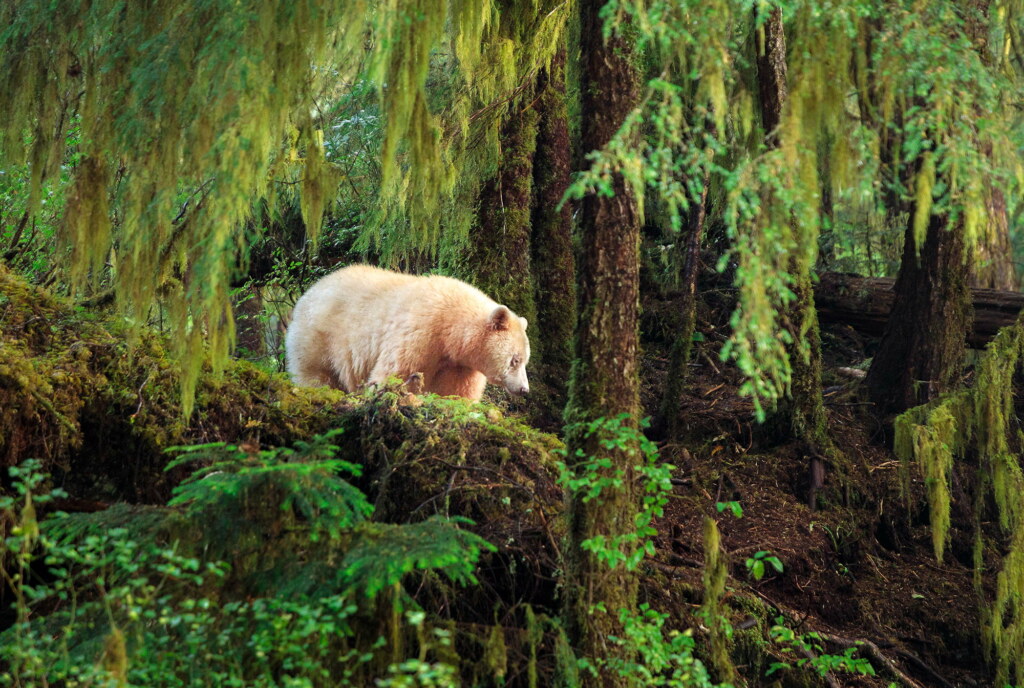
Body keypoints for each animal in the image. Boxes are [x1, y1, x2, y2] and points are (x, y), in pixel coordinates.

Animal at [285, 265, 530, 401]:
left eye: (525, 360)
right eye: (515, 360)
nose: (524, 389)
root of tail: (310, 291)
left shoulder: (460, 364)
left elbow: (456, 392)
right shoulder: (419, 331)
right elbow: (395, 372)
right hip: (320, 336)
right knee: (316, 371)